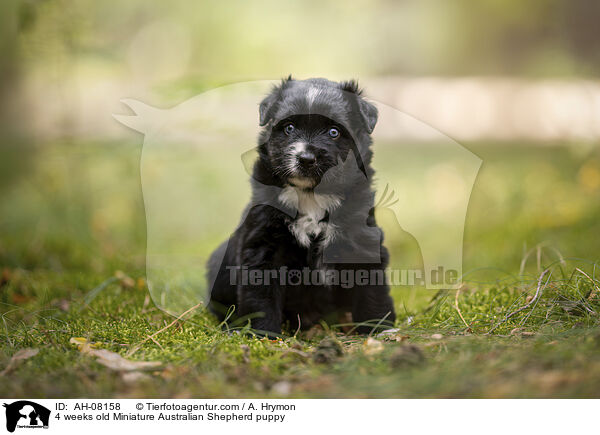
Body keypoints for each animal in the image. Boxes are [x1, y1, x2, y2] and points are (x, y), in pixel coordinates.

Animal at [209, 77, 396, 338]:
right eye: (289, 128)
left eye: (334, 132)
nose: (306, 158)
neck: (311, 195)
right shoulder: (263, 243)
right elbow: (261, 294)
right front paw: (264, 334)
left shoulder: (362, 239)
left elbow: (371, 288)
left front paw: (378, 328)